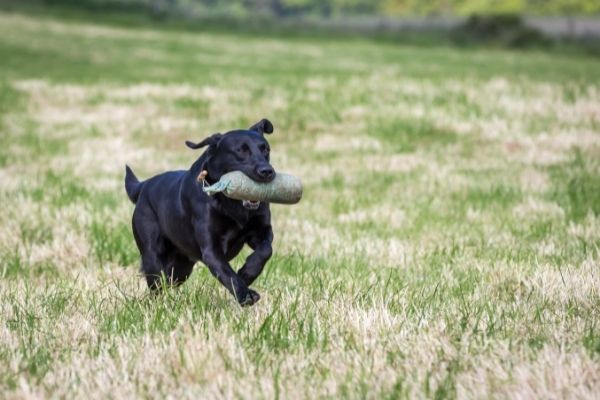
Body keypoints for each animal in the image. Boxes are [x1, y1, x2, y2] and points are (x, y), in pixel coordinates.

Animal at [126, 119, 276, 306]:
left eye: (266, 149)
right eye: (241, 150)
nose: (267, 171)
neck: (234, 205)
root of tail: (143, 185)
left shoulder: (261, 231)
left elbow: (266, 250)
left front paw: (247, 273)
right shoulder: (211, 250)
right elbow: (228, 274)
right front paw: (245, 294)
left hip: (181, 267)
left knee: (168, 281)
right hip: (152, 255)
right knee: (157, 285)